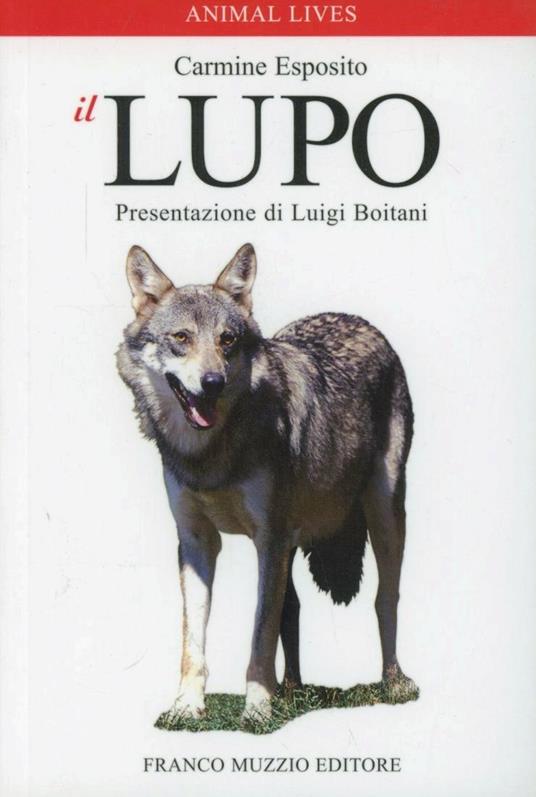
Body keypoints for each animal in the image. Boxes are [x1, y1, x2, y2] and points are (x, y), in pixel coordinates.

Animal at [117, 242, 416, 722]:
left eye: (227, 340)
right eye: (181, 338)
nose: (213, 382)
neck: (210, 455)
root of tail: (358, 319)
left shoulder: (268, 538)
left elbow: (259, 634)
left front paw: (256, 708)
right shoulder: (198, 540)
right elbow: (194, 639)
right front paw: (187, 706)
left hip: (384, 517)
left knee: (384, 600)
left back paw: (393, 682)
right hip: (294, 542)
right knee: (291, 608)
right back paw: (292, 692)